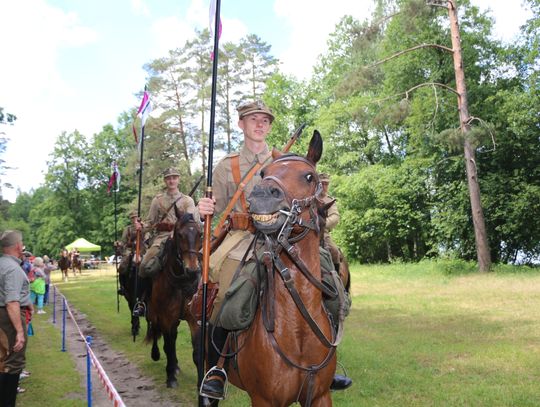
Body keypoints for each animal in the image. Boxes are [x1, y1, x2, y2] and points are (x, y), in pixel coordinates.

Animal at [144, 210, 201, 388]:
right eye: (180, 234)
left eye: (200, 234)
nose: (192, 270)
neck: (180, 283)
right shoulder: (166, 318)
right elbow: (168, 345)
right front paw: (170, 378)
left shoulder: (193, 319)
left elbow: (196, 351)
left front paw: (201, 385)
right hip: (153, 313)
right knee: (155, 329)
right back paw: (156, 354)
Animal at [215, 131, 342, 407]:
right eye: (264, 173)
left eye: (309, 176)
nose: (262, 195)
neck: (297, 331)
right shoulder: (264, 400)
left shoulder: (320, 396)